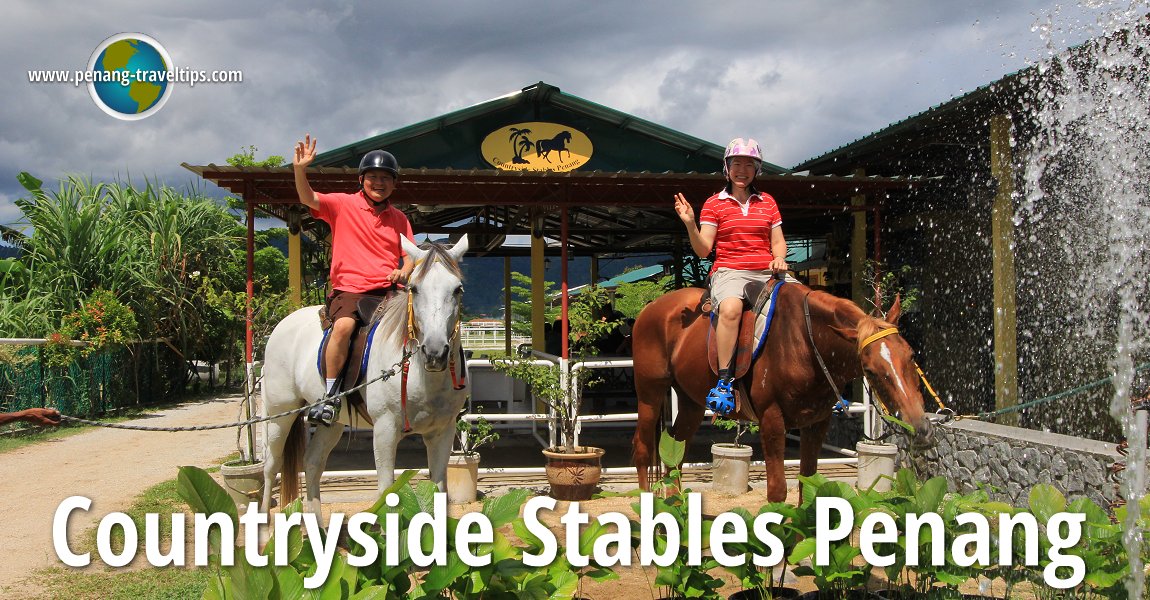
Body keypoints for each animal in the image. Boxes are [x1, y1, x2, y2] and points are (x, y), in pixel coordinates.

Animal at [263, 233, 469, 508]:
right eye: (414, 288)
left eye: (457, 289)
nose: (435, 352)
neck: (424, 379)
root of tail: (285, 323)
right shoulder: (384, 431)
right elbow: (385, 492)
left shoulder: (442, 433)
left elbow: (439, 491)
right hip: (280, 412)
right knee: (271, 466)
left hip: (332, 424)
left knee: (313, 463)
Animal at [630, 282, 933, 496]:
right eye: (870, 369)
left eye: (911, 355)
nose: (919, 425)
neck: (804, 342)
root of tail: (650, 307)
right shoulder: (772, 420)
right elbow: (777, 491)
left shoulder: (816, 423)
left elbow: (808, 485)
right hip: (650, 392)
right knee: (643, 448)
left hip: (691, 402)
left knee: (674, 451)